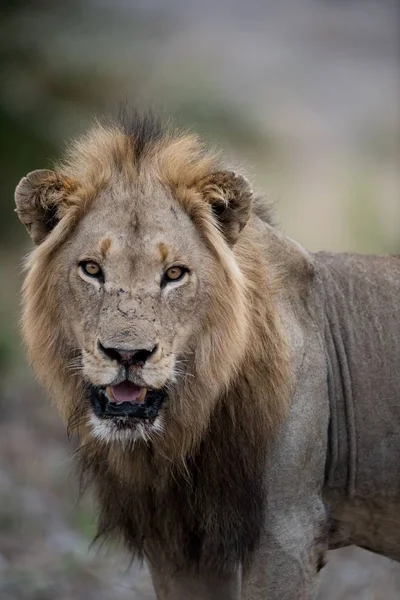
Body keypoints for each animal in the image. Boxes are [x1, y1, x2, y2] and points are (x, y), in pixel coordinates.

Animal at [14, 112, 400, 600]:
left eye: (175, 274)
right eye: (91, 269)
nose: (127, 354)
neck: (189, 425)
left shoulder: (288, 530)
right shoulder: (179, 542)